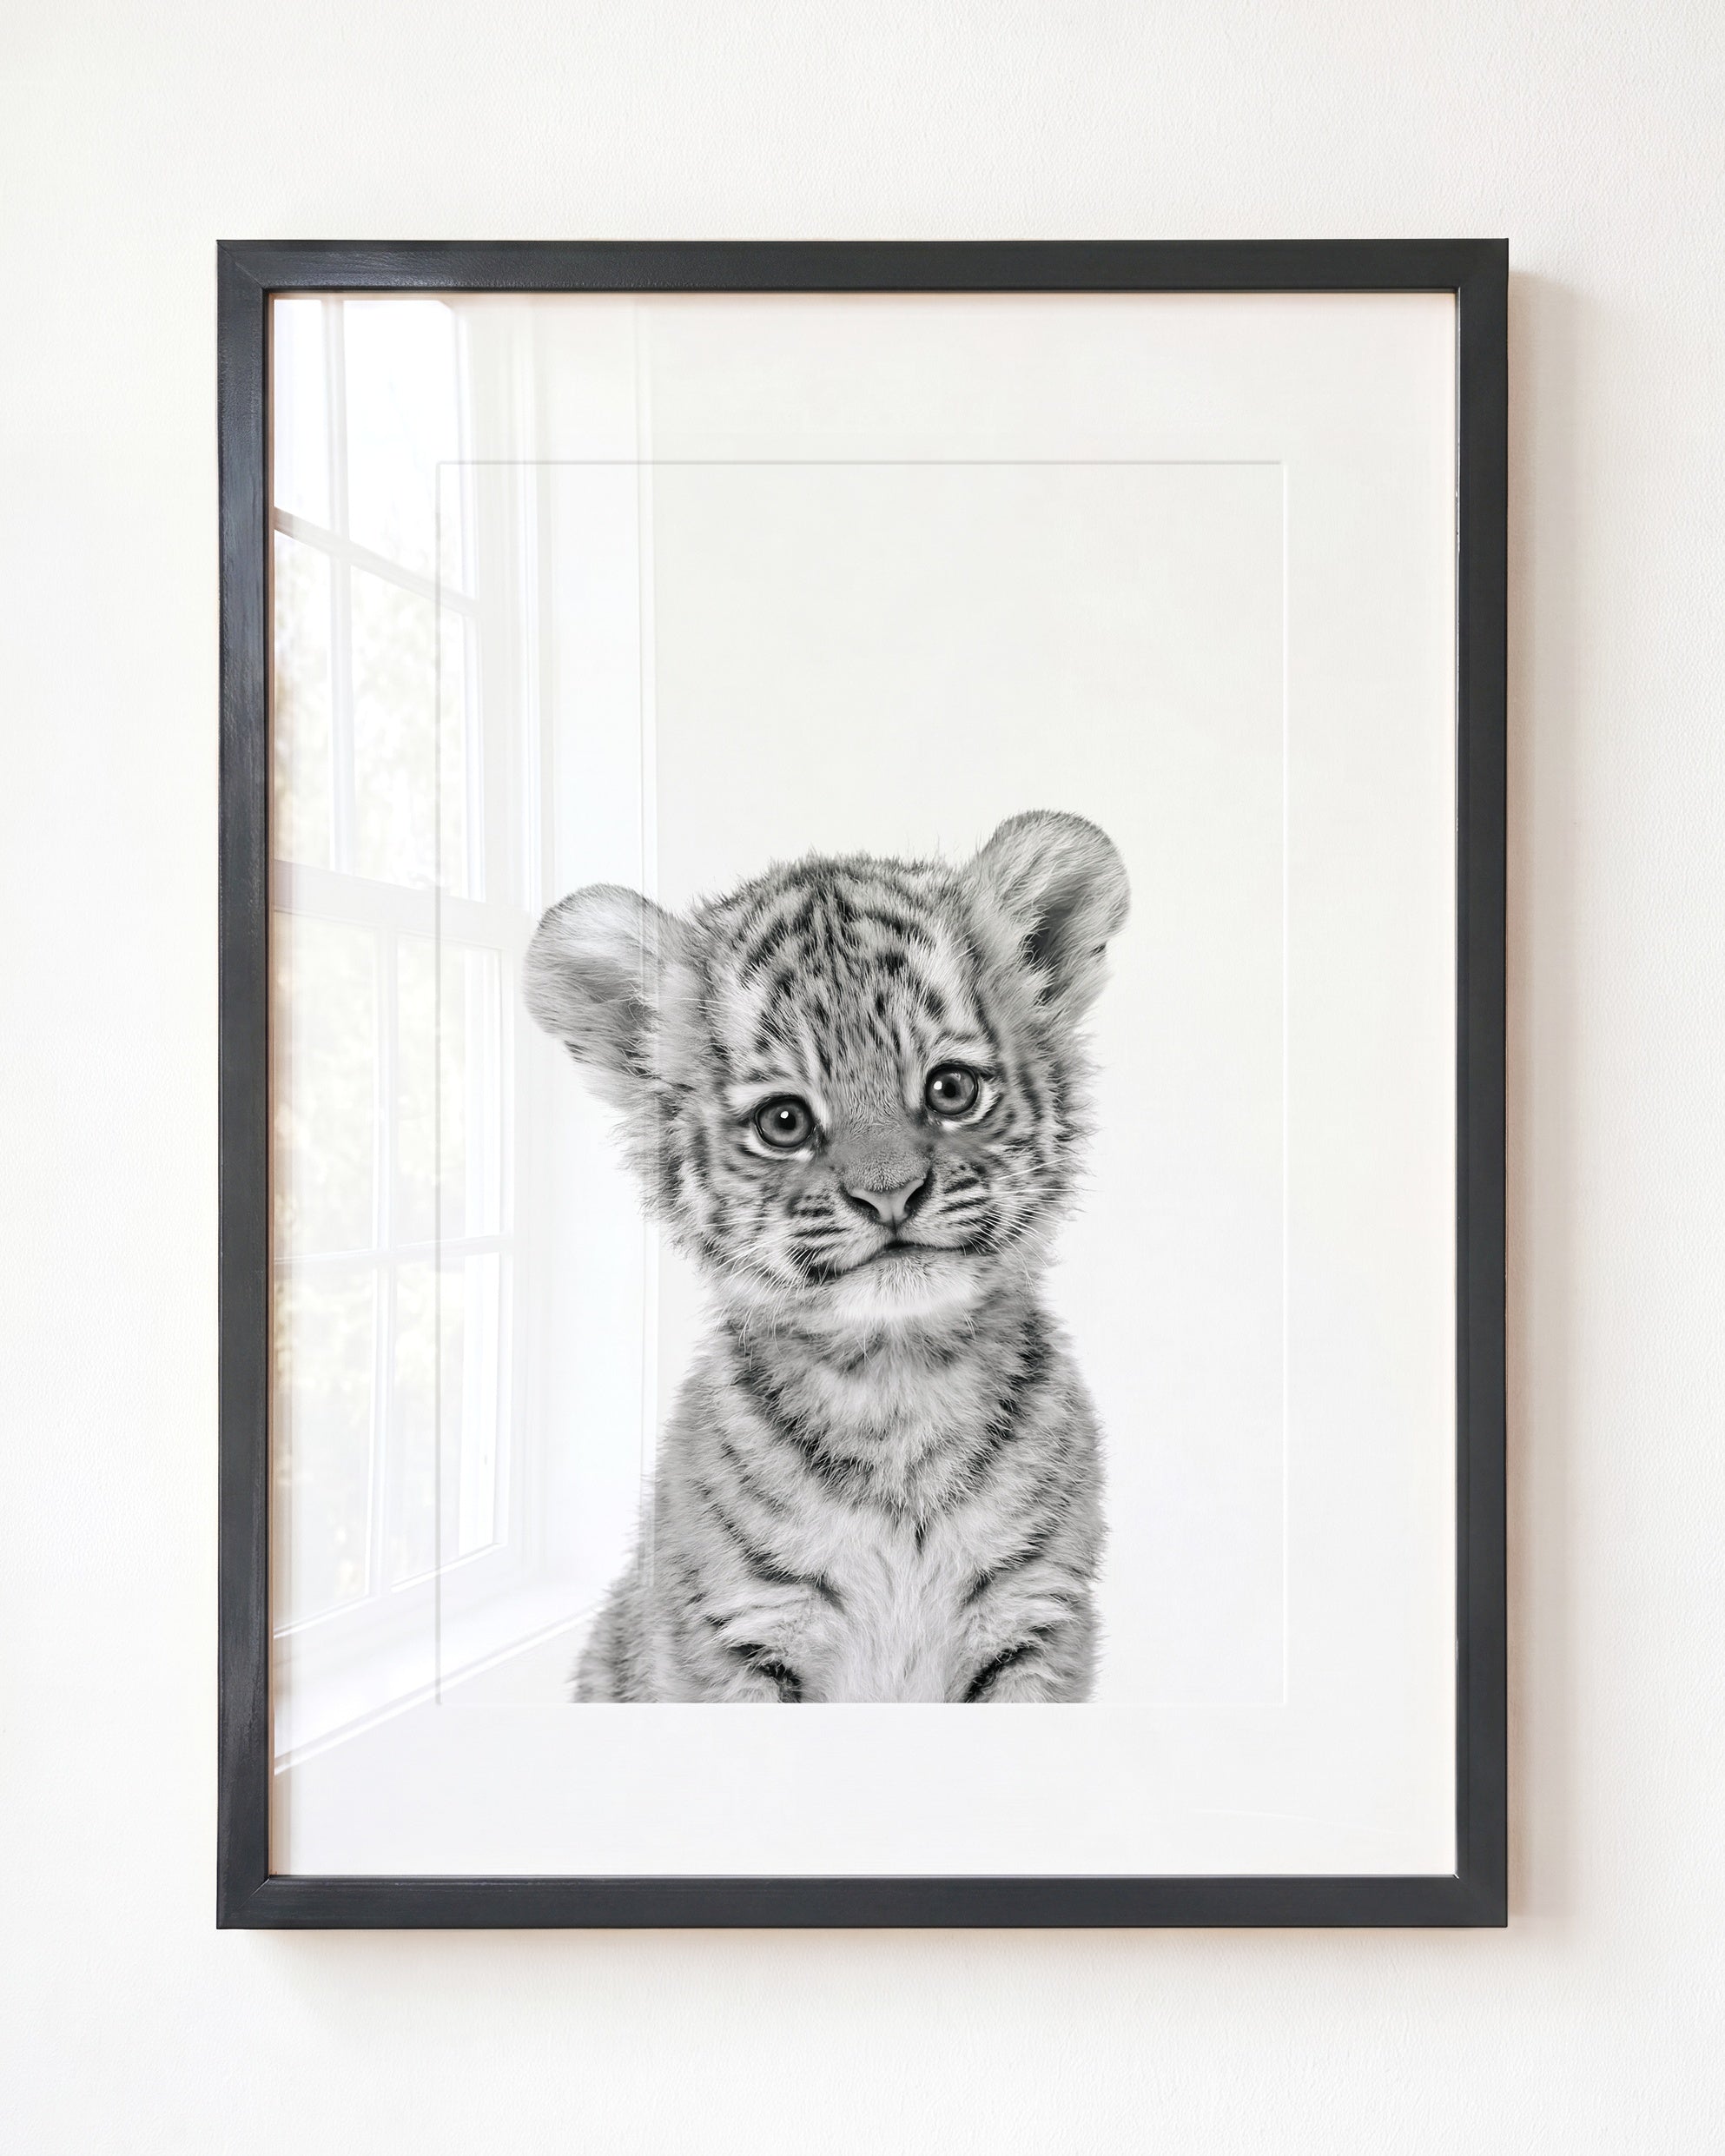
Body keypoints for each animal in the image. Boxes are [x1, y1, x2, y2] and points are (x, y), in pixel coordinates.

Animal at [523, 810, 1129, 1703]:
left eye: (951, 1089)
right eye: (784, 1122)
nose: (890, 1196)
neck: (900, 1390)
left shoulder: (1035, 1621)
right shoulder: (738, 1638)